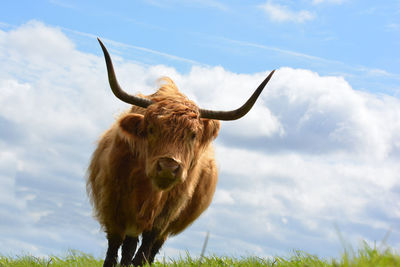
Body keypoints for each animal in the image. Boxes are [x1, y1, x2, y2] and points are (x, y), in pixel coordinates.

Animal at [87, 38, 276, 267]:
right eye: (151, 129)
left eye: (193, 135)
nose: (169, 167)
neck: (148, 190)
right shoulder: (113, 206)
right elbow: (113, 249)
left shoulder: (165, 216)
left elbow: (144, 251)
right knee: (127, 246)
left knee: (146, 249)